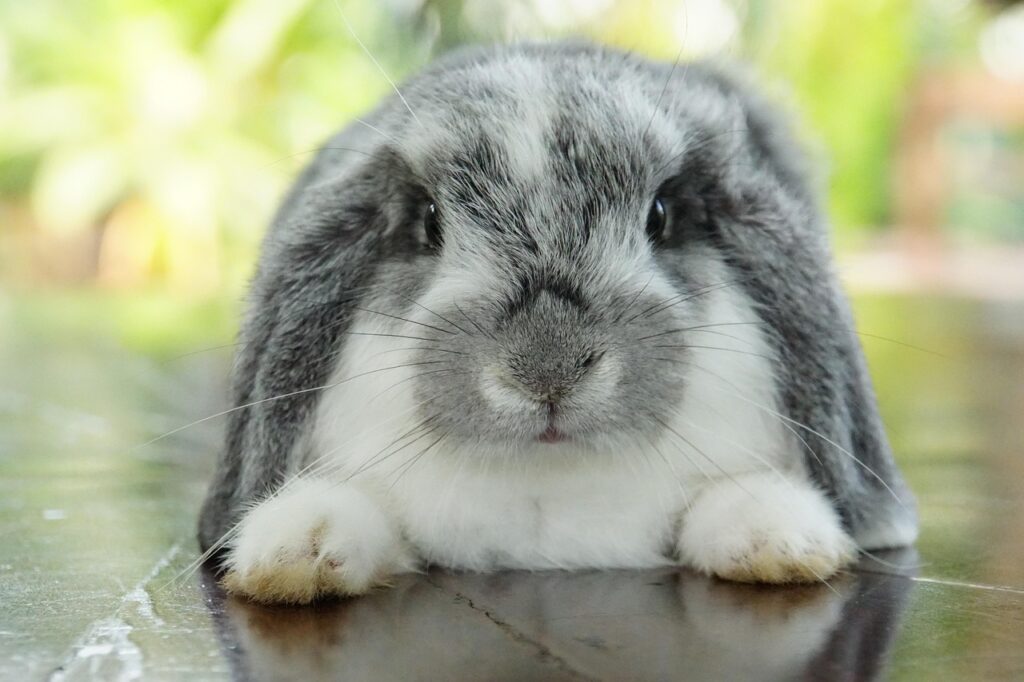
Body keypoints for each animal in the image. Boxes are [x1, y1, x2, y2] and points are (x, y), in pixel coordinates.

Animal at [197, 42, 917, 604]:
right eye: (428, 222)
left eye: (661, 216)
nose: (547, 370)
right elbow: (354, 513)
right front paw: (295, 552)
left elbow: (731, 503)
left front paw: (781, 540)